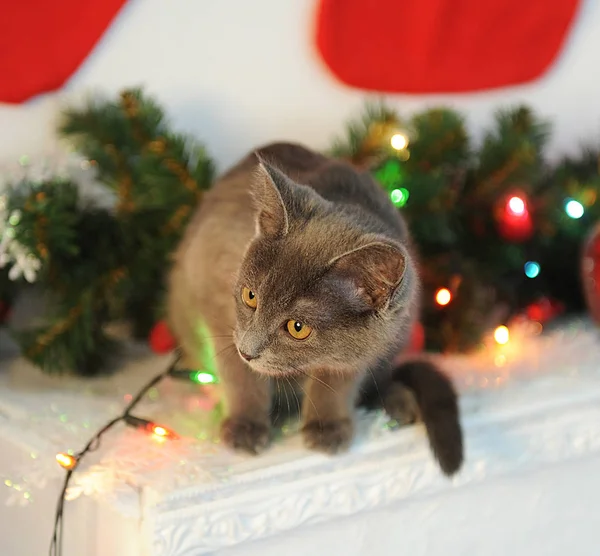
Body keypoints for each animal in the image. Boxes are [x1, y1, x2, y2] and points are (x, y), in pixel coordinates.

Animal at [169, 142, 464, 474]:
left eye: (298, 327)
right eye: (250, 296)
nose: (249, 351)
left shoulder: (362, 349)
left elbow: (335, 381)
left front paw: (327, 427)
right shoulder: (216, 298)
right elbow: (238, 372)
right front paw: (246, 426)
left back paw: (397, 400)